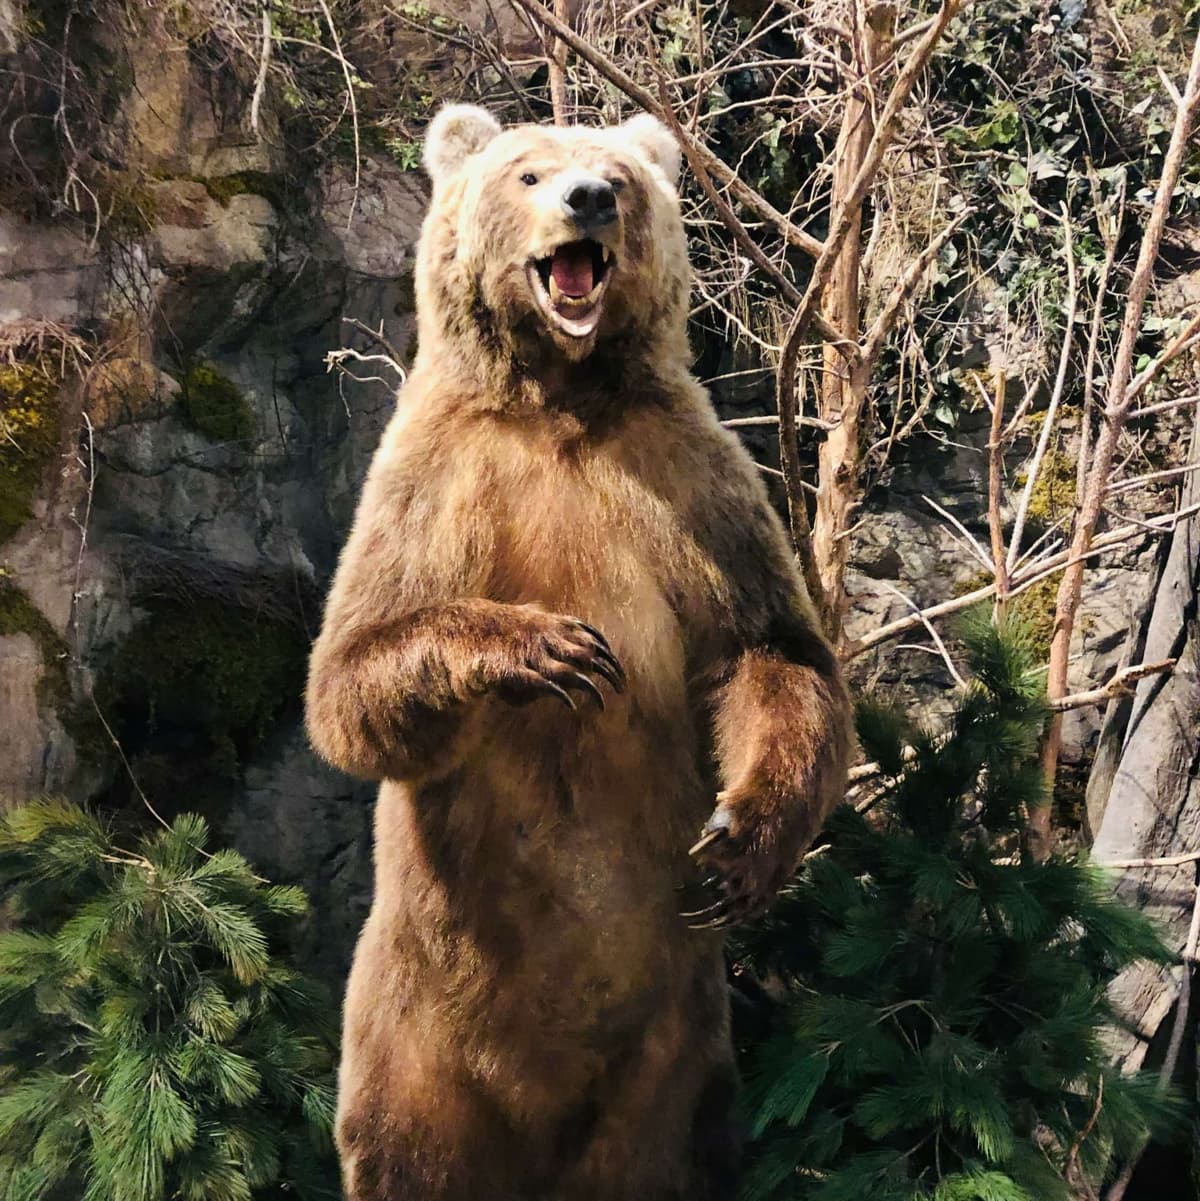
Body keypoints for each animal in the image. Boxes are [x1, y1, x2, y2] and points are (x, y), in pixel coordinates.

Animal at [304, 103, 851, 1201]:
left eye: (621, 177)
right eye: (528, 171)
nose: (588, 198)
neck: (559, 396)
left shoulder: (689, 478)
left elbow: (769, 651)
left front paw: (738, 845)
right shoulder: (433, 483)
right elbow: (353, 677)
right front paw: (549, 649)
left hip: (675, 1051)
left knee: (674, 1150)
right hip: (410, 1033)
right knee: (406, 1151)